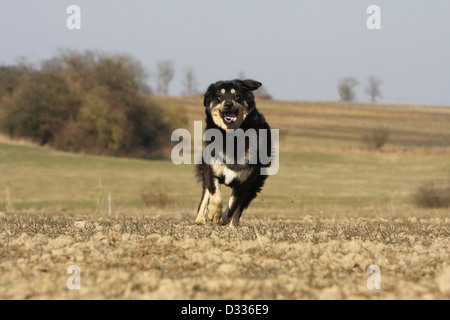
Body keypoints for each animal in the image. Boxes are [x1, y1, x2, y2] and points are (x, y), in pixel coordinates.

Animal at [194, 79, 270, 226]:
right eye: (220, 96)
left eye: (236, 96)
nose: (228, 104)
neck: (231, 136)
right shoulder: (211, 171)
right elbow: (215, 195)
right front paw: (214, 214)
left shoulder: (245, 182)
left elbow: (233, 206)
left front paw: (223, 219)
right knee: (205, 197)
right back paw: (199, 220)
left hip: (255, 184)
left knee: (239, 208)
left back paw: (232, 225)